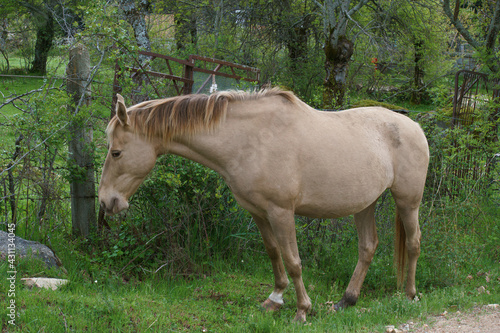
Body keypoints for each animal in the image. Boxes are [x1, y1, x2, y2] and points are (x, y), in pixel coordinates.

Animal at [98, 87, 430, 320]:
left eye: (116, 152)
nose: (106, 201)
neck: (250, 139)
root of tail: (413, 125)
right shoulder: (257, 211)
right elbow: (273, 253)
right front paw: (275, 299)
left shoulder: (281, 212)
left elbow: (294, 261)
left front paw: (302, 310)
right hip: (365, 204)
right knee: (368, 247)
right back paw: (346, 301)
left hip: (408, 201)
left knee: (414, 242)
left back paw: (409, 294)